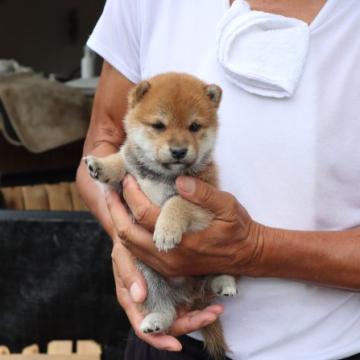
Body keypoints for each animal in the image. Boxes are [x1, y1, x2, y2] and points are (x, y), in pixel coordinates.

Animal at [83, 73, 238, 360]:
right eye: (159, 125)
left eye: (194, 126)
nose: (178, 151)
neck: (161, 175)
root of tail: (190, 294)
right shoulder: (129, 177)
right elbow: (121, 161)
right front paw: (101, 165)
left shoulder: (204, 207)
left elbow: (176, 202)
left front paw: (166, 231)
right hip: (148, 276)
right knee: (166, 308)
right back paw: (156, 321)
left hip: (226, 252)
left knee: (218, 277)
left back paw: (225, 283)